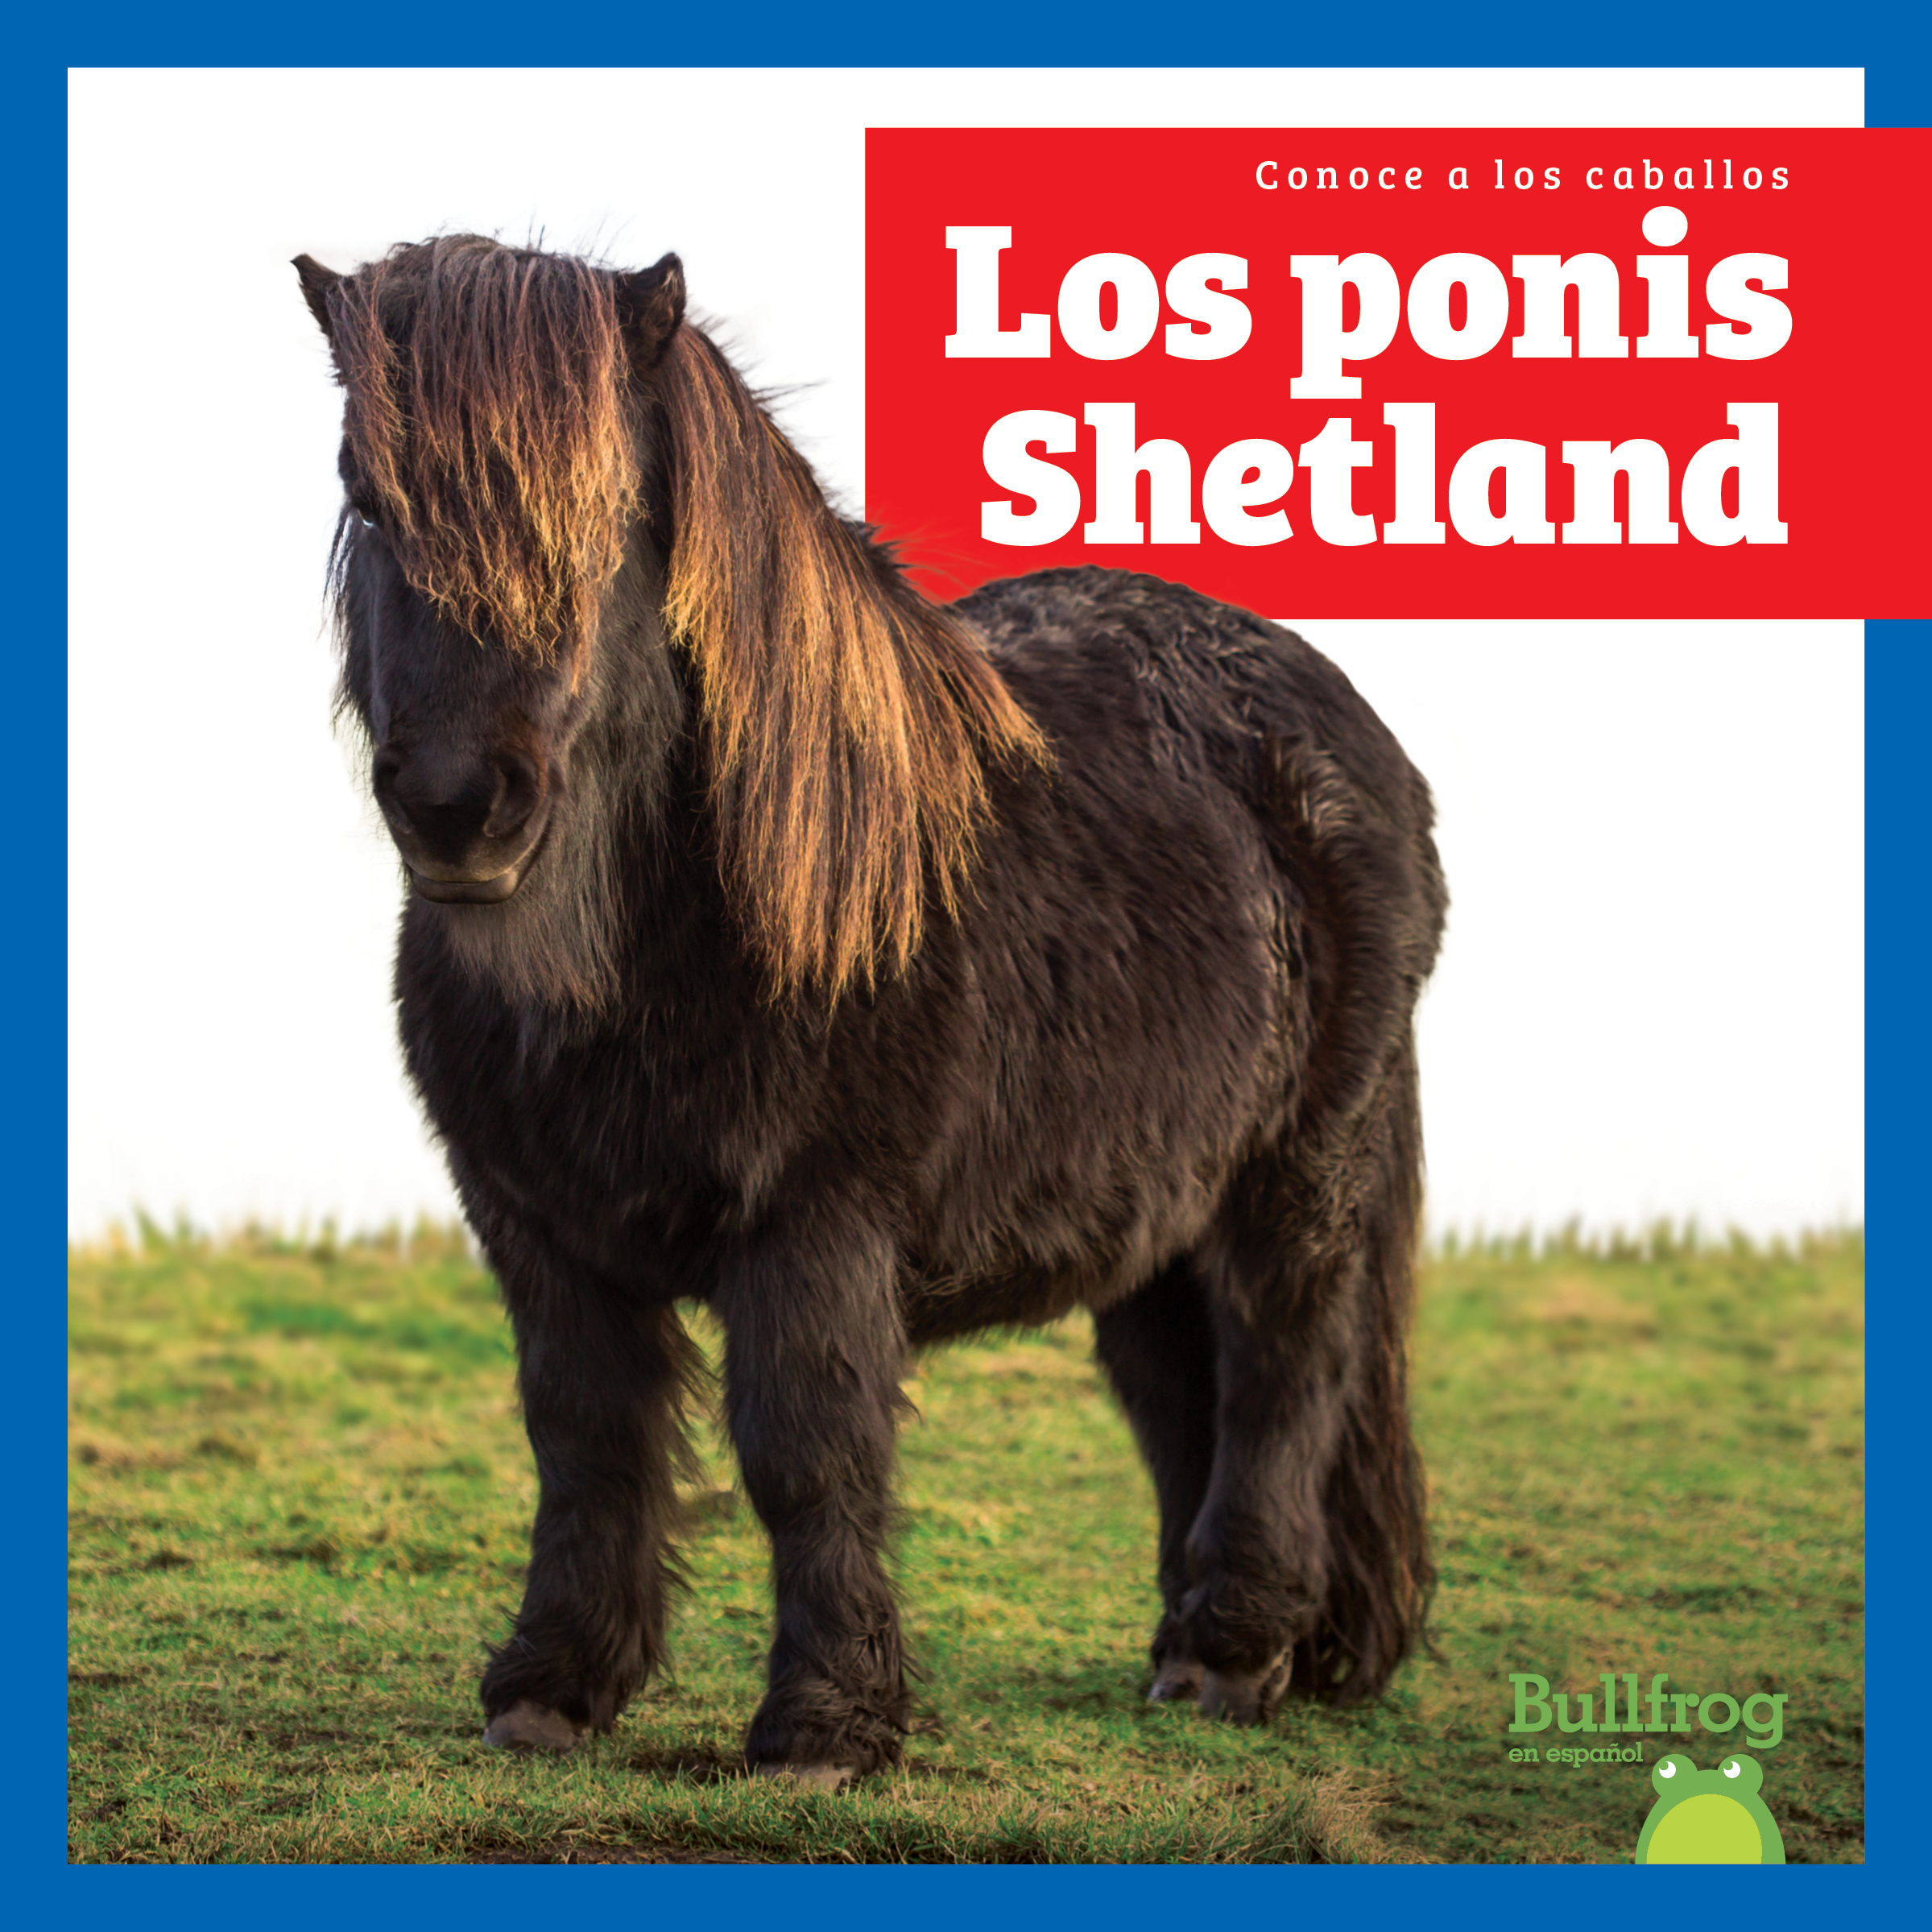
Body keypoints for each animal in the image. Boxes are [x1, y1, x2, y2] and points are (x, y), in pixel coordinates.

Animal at [293, 234, 1447, 1788]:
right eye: (368, 496)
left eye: (606, 510)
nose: (460, 806)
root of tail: (1333, 720)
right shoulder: (537, 1226)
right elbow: (583, 1434)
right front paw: (553, 1683)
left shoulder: (817, 1221)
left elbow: (805, 1448)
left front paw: (822, 1725)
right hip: (1154, 1205)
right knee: (1174, 1390)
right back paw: (1178, 1645)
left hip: (1295, 1177)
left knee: (1282, 1370)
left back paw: (1228, 1649)